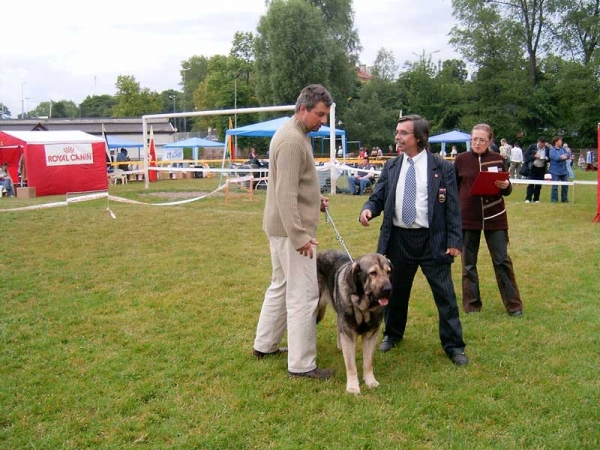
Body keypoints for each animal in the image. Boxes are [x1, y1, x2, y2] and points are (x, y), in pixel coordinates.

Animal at [316, 250, 392, 394]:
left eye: (389, 272)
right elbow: (351, 365)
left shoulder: (370, 335)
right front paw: (352, 386)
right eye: (373, 273)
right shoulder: (349, 335)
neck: (363, 306)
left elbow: (368, 362)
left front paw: (370, 381)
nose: (388, 289)